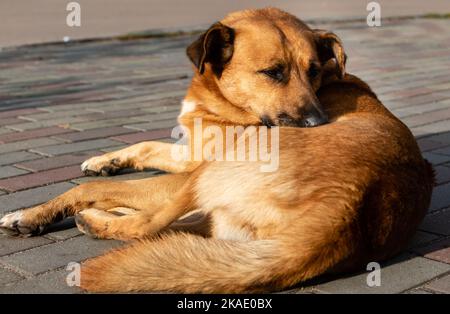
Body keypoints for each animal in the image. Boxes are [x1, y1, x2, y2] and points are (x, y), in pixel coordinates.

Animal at [0, 6, 436, 292]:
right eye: (273, 72)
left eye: (314, 71)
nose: (317, 123)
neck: (220, 104)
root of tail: (347, 208)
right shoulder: (188, 152)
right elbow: (144, 145)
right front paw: (103, 159)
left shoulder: (193, 168)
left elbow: (90, 187)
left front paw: (31, 214)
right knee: (180, 227)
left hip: (205, 178)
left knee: (149, 225)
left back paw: (97, 218)